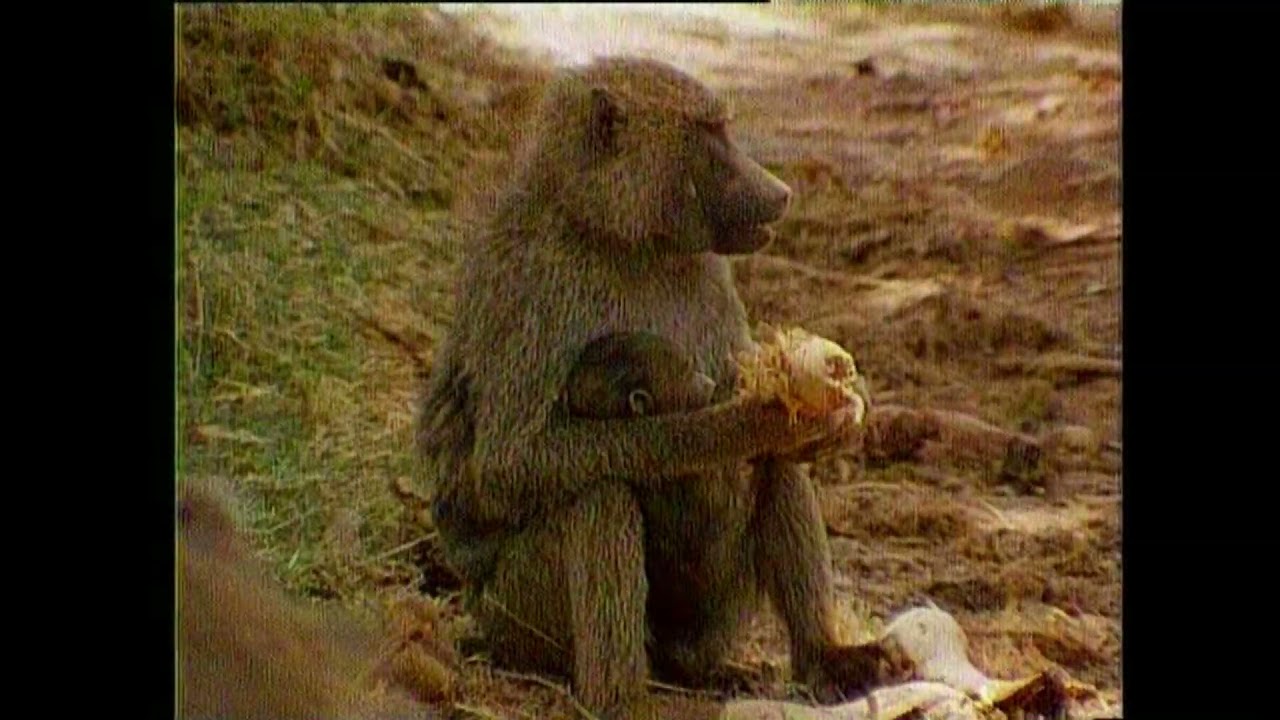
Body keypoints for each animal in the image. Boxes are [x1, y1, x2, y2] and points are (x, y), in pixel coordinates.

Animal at [417, 56, 892, 717]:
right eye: (710, 132)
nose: (780, 192)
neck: (619, 236)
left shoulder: (708, 270)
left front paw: (836, 416)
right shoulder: (533, 285)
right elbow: (509, 464)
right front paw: (749, 420)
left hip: (708, 619)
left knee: (777, 470)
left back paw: (824, 660)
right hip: (519, 621)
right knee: (598, 496)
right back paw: (618, 699)